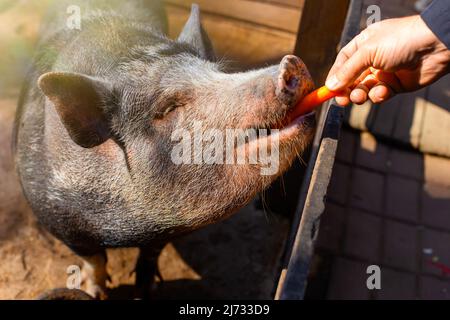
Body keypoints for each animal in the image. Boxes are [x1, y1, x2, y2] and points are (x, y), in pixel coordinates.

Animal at [14, 0, 316, 300]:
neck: (128, 229)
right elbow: (94, 259)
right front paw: (95, 293)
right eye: (167, 108)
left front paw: (147, 289)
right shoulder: (54, 216)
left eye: (217, 72)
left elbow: (151, 253)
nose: (290, 63)